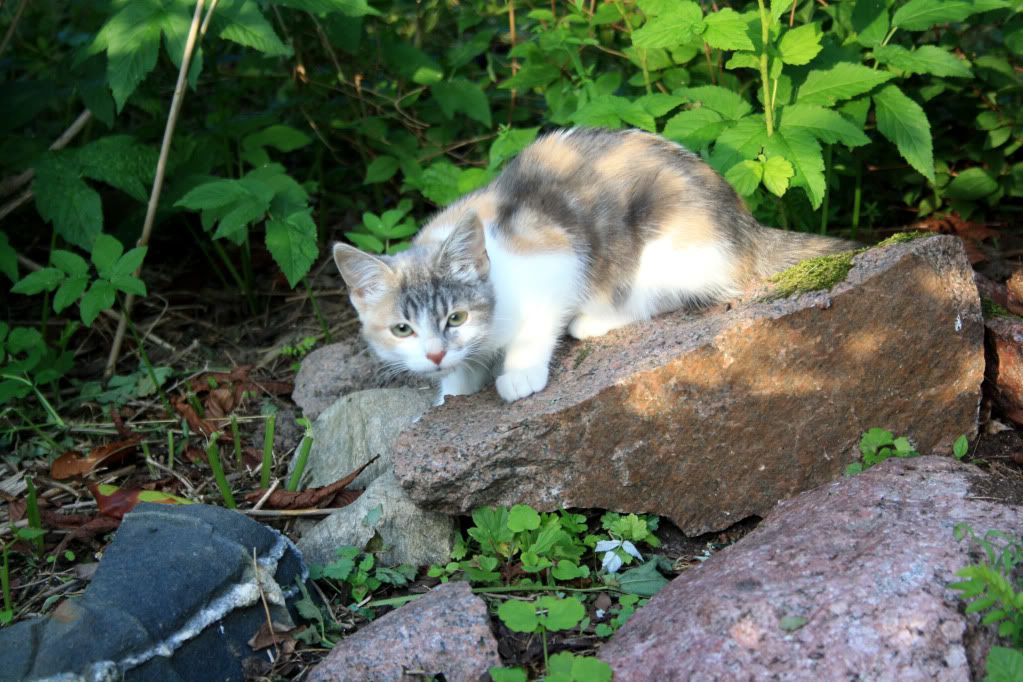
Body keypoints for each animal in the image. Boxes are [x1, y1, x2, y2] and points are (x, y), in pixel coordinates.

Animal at [331, 127, 851, 402]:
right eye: (402, 329)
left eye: (455, 317)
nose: (436, 355)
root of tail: (747, 228)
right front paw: (454, 384)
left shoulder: (556, 258)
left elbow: (538, 324)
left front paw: (518, 372)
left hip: (668, 245)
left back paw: (594, 319)